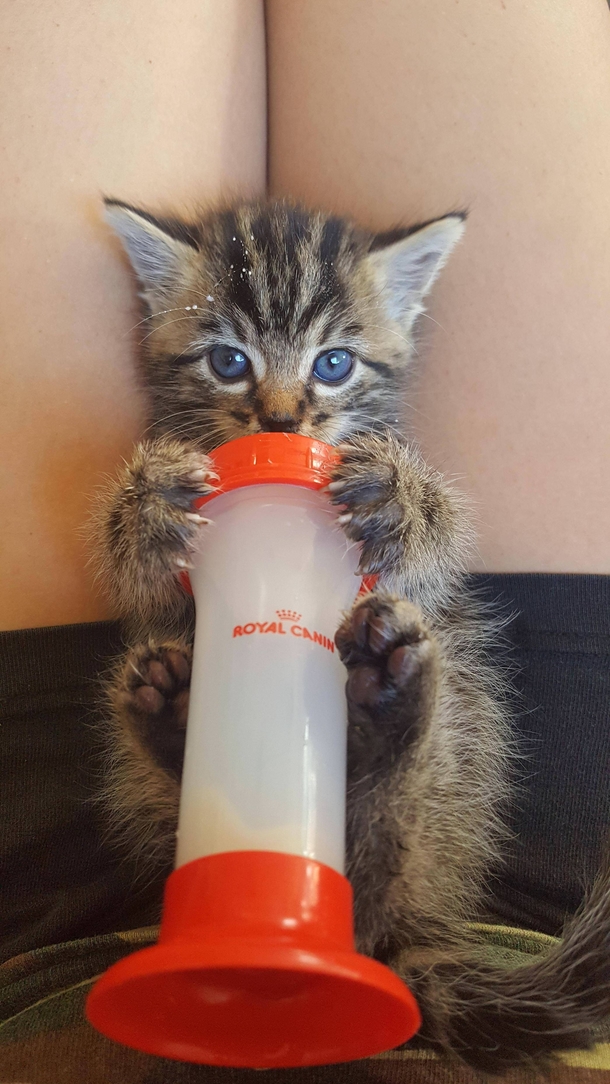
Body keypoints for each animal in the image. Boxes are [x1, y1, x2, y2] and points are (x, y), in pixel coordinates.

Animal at [94, 199, 610, 1070]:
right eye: (227, 360)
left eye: (334, 364)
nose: (280, 418)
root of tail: (394, 942)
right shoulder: (166, 589)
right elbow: (138, 571)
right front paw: (150, 503)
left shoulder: (417, 573)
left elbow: (437, 541)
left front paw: (402, 497)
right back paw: (171, 716)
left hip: (457, 751)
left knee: (397, 830)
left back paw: (389, 726)